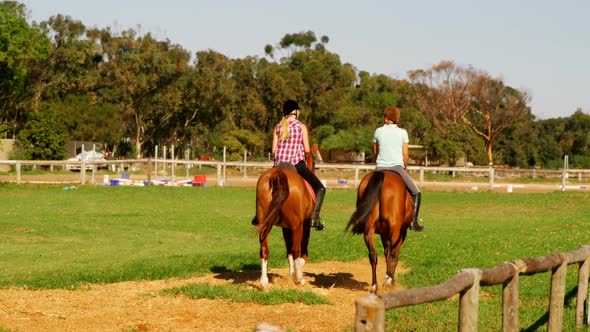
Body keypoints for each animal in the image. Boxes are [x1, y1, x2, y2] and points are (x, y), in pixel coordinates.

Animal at [256, 154, 320, 290]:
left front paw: (291, 274)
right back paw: (300, 280)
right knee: (296, 250)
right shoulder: (304, 224)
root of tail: (279, 173)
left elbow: (288, 248)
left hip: (265, 224)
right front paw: (297, 274)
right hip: (297, 226)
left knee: (264, 249)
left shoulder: (285, 227)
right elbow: (301, 250)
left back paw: (264, 283)